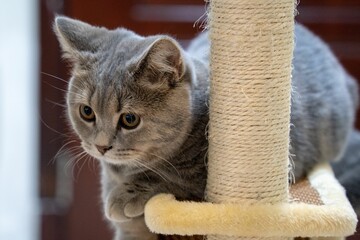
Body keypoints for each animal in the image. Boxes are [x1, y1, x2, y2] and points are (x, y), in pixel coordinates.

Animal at [54, 15, 360, 239]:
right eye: (86, 112)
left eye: (130, 119)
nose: (101, 146)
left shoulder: (209, 184)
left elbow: (173, 178)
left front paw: (127, 194)